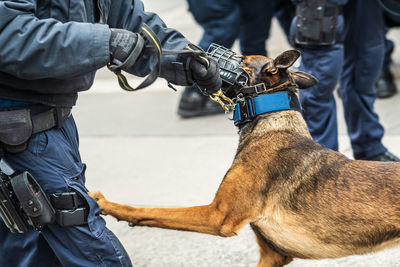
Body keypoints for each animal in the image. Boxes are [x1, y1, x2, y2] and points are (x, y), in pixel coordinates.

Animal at [90, 49, 400, 266]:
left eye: (241, 59)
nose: (192, 55)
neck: (271, 121)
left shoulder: (218, 215)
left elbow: (150, 211)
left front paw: (109, 205)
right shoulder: (273, 256)